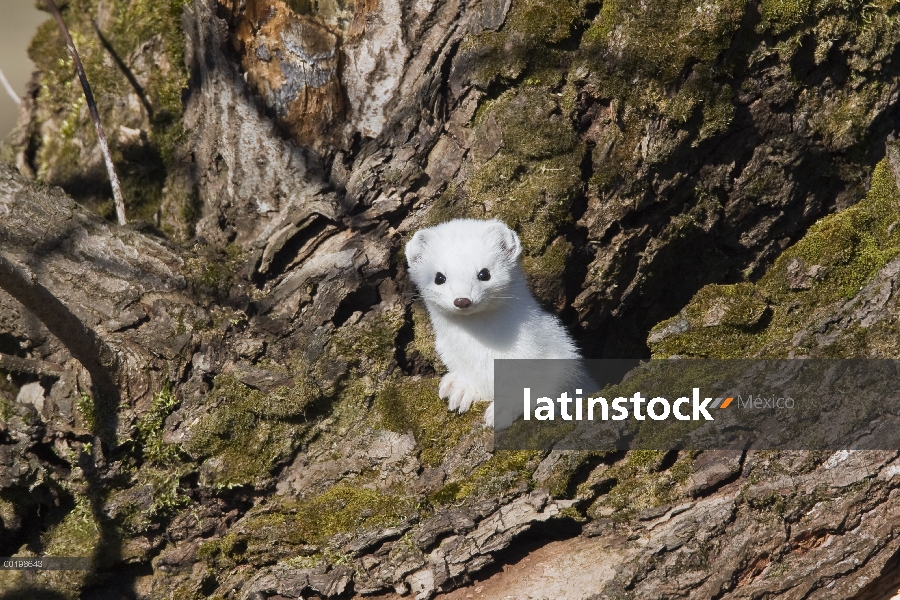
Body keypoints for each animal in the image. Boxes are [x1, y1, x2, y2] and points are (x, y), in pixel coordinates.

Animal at [408, 219, 584, 426]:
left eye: (484, 273)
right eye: (439, 277)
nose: (462, 300)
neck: (481, 352)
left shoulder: (559, 355)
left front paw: (504, 407)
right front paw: (461, 388)